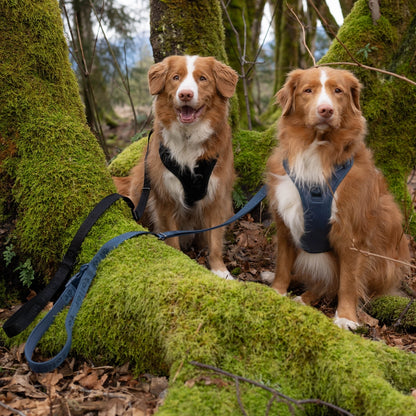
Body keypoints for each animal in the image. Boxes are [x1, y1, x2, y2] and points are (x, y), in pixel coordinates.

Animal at [113, 54, 237, 280]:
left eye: (203, 78)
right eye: (176, 77)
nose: (185, 94)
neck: (189, 139)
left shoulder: (216, 197)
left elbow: (215, 240)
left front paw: (220, 271)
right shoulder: (164, 197)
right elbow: (171, 237)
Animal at [264, 66, 408, 330]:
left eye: (338, 91)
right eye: (308, 90)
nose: (326, 110)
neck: (316, 151)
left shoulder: (351, 234)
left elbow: (348, 282)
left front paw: (346, 317)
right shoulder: (285, 221)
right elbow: (283, 264)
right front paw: (276, 291)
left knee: (332, 284)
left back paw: (306, 297)